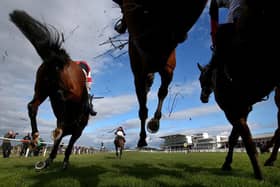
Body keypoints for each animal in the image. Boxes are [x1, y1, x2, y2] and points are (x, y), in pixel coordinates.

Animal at [9, 10, 89, 169]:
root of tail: (58, 58)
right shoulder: (77, 131)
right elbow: (67, 145)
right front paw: (62, 161)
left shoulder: (71, 129)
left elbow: (59, 143)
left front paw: (49, 160)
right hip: (68, 91)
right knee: (60, 95)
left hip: (42, 89)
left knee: (32, 106)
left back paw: (35, 137)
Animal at [122, 0, 208, 147]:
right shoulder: (139, 74)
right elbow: (143, 107)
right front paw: (142, 138)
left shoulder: (168, 70)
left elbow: (162, 92)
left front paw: (154, 122)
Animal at [197, 0, 278, 179]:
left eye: (200, 79)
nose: (202, 98)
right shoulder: (242, 109)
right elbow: (235, 136)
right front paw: (227, 163)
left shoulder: (232, 109)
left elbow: (244, 139)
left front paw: (258, 172)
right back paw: (269, 155)